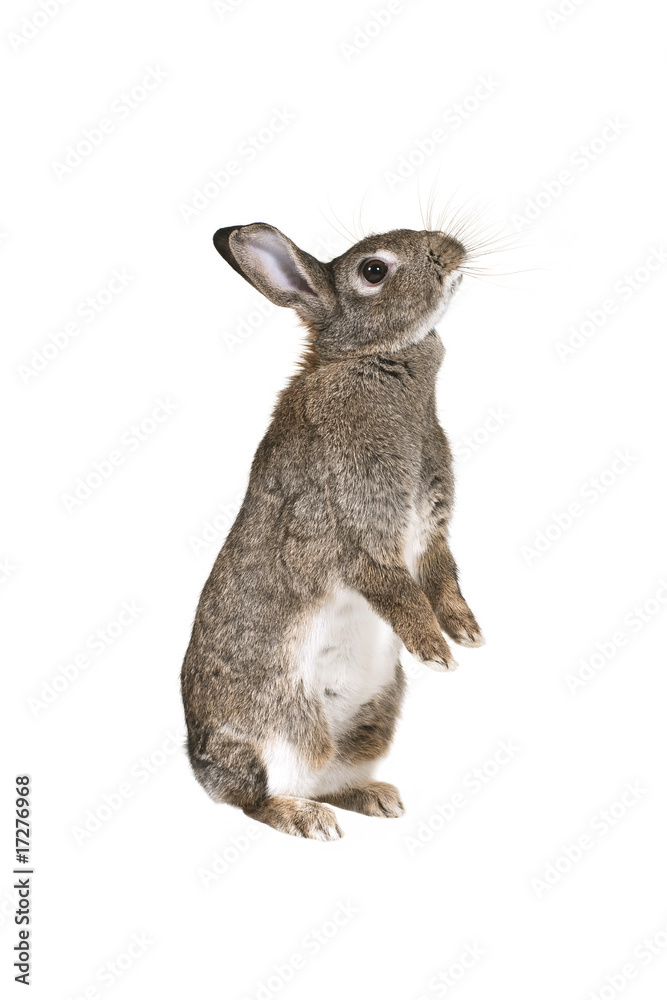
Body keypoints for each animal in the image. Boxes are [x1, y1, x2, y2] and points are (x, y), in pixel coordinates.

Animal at [181, 222, 484, 841]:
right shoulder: (360, 532)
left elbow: (443, 579)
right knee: (255, 798)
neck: (372, 359)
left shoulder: (431, 532)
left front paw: (468, 633)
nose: (451, 250)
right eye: (373, 270)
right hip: (275, 732)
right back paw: (308, 821)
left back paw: (376, 799)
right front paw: (437, 653)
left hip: (373, 720)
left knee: (329, 776)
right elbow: (399, 592)